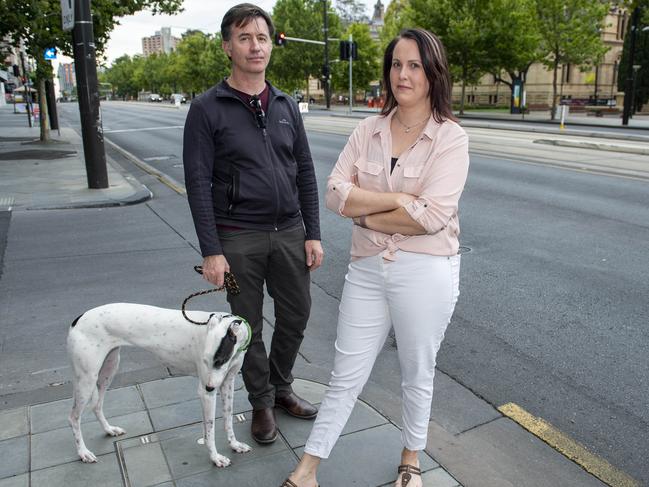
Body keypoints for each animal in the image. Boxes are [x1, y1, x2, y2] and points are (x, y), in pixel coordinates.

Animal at [66, 304, 253, 468]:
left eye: (219, 361)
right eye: (206, 361)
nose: (209, 388)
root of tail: (78, 318)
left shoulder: (227, 382)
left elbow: (228, 418)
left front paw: (234, 444)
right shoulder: (206, 393)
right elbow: (210, 430)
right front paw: (215, 458)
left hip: (109, 368)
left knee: (97, 405)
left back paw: (109, 430)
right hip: (86, 379)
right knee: (74, 417)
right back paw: (83, 452)